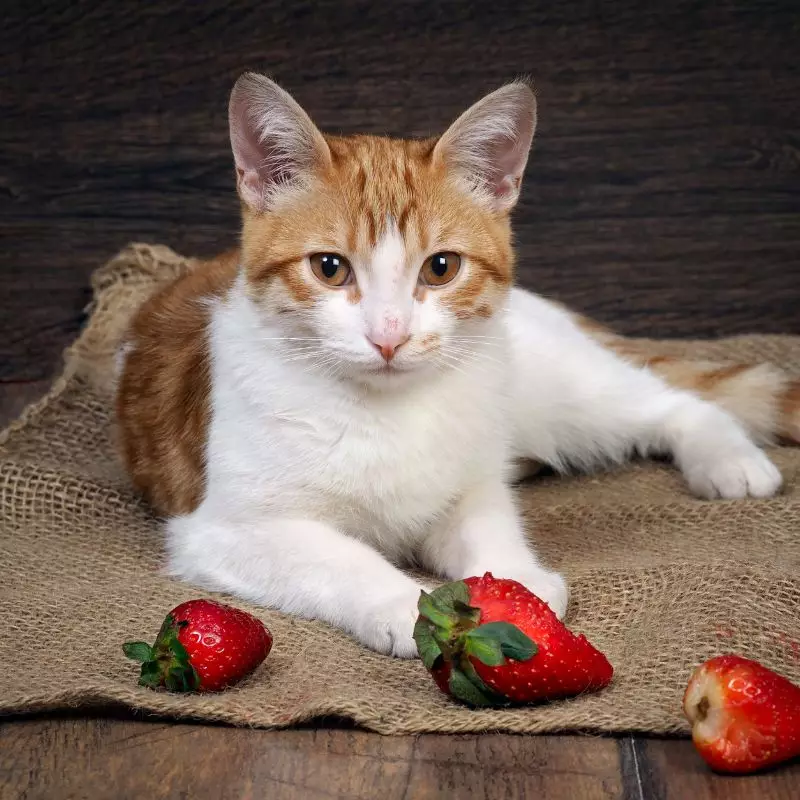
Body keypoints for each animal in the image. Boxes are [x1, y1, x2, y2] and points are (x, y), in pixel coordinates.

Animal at [115, 72, 796, 656]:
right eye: (330, 268)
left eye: (440, 267)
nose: (389, 336)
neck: (384, 411)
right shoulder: (225, 529)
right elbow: (337, 558)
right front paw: (403, 603)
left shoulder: (471, 484)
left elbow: (487, 521)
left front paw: (517, 582)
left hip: (557, 391)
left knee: (673, 402)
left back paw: (726, 457)